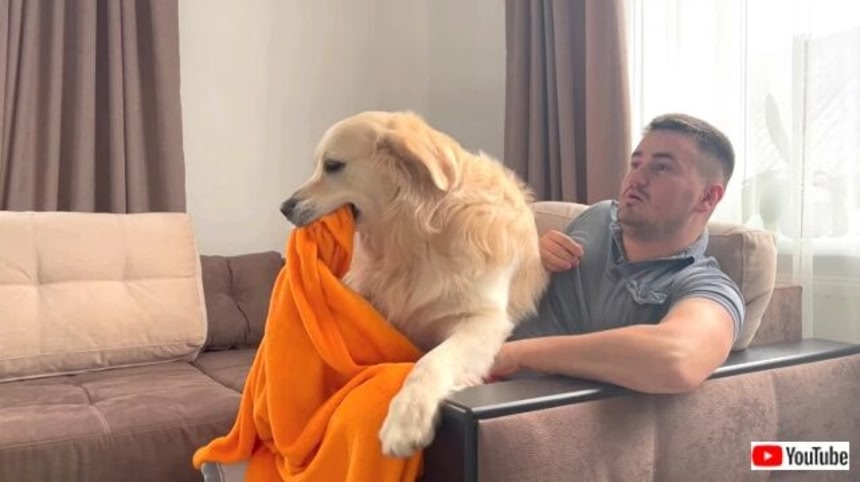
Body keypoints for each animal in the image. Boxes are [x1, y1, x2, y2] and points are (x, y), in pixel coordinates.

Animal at [281, 111, 549, 457]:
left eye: (333, 165)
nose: (284, 208)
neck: (413, 238)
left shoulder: (484, 319)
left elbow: (431, 361)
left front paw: (406, 419)